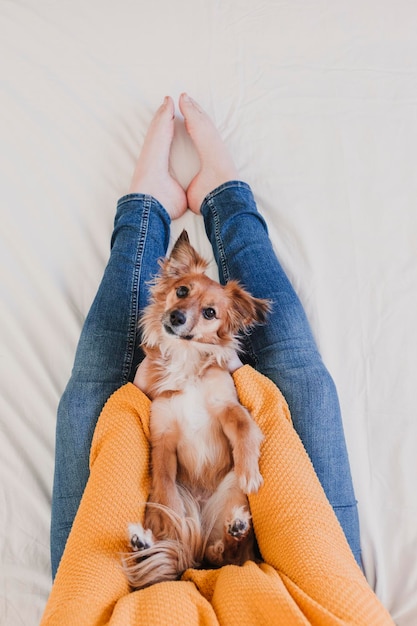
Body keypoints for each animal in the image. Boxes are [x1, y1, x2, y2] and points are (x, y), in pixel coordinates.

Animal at [122, 229, 270, 584]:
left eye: (210, 313)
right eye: (182, 291)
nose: (176, 317)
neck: (184, 357)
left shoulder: (226, 406)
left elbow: (244, 427)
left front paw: (249, 471)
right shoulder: (163, 435)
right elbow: (163, 480)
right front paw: (172, 519)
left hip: (230, 500)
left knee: (230, 557)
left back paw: (234, 530)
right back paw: (143, 542)